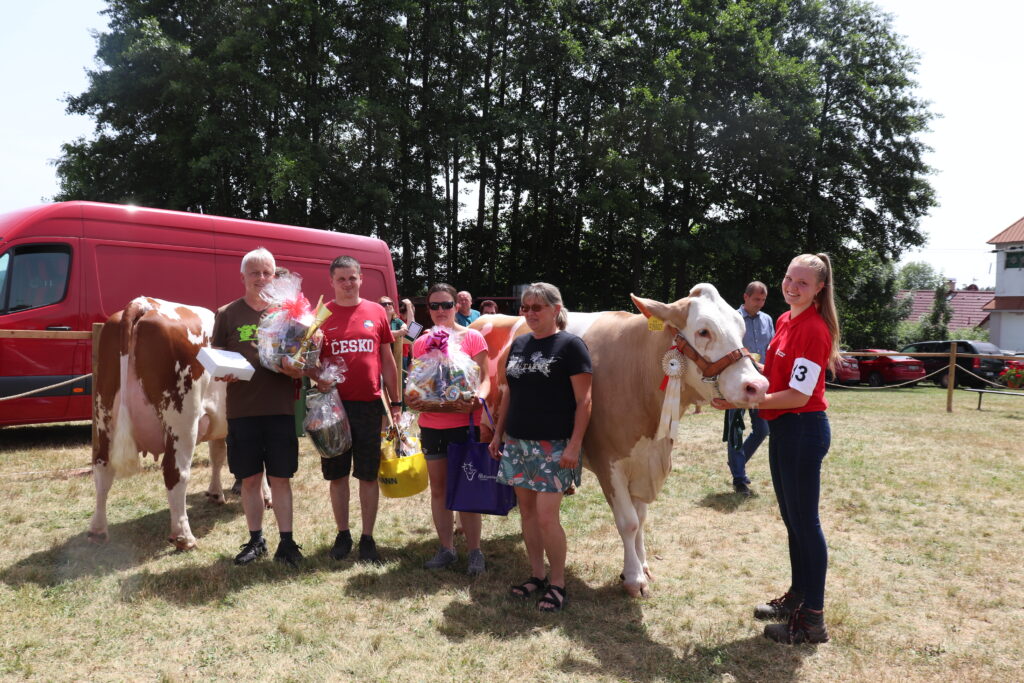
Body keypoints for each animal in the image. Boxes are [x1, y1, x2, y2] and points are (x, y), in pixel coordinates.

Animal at [91, 296, 231, 548]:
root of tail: (145, 303)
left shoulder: (218, 421)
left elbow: (217, 454)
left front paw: (216, 493)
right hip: (182, 421)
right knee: (175, 472)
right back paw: (184, 536)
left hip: (104, 414)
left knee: (102, 467)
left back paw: (97, 529)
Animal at [471, 286, 770, 593]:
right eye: (703, 331)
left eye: (741, 327)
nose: (757, 386)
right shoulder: (609, 463)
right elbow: (628, 522)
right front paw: (634, 577)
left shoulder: (643, 461)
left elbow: (641, 517)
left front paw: (643, 565)